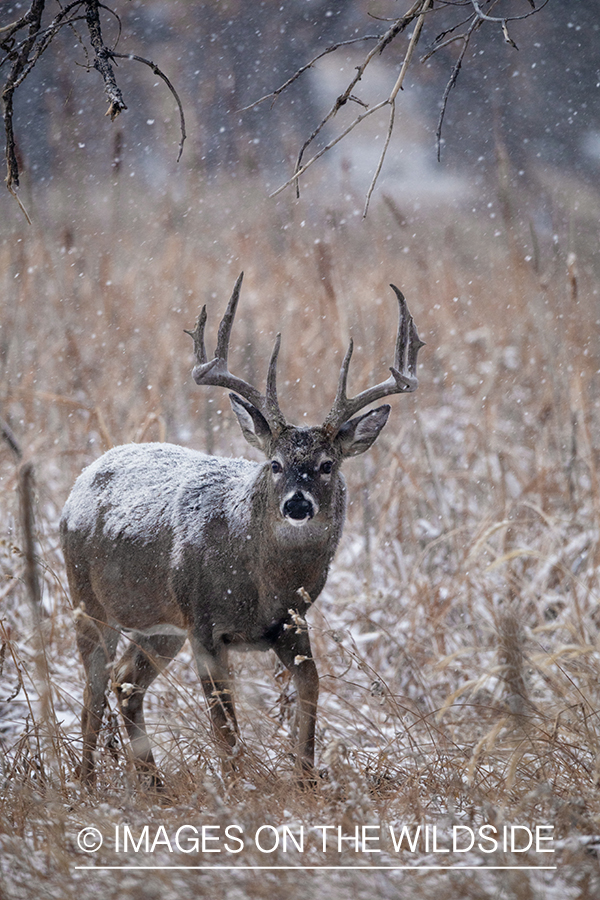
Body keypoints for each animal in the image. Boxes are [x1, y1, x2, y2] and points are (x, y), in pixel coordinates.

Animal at [61, 274, 424, 788]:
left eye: (327, 464)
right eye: (274, 464)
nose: (297, 503)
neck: (262, 585)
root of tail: (86, 474)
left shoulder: (291, 622)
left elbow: (310, 691)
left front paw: (305, 779)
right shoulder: (205, 625)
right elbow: (224, 725)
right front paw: (238, 787)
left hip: (161, 624)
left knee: (125, 682)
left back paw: (155, 784)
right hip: (89, 601)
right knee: (93, 690)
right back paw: (88, 780)